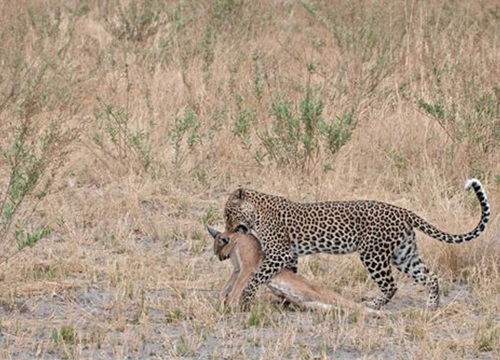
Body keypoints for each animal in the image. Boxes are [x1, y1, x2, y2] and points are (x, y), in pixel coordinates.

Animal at [225, 179, 490, 308]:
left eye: (228, 213)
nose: (227, 232)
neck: (257, 213)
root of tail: (403, 211)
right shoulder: (289, 255)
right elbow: (291, 276)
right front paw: (285, 300)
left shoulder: (277, 254)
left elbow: (257, 275)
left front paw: (247, 297)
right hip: (404, 254)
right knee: (430, 276)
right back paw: (432, 306)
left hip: (373, 254)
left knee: (391, 285)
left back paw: (375, 304)